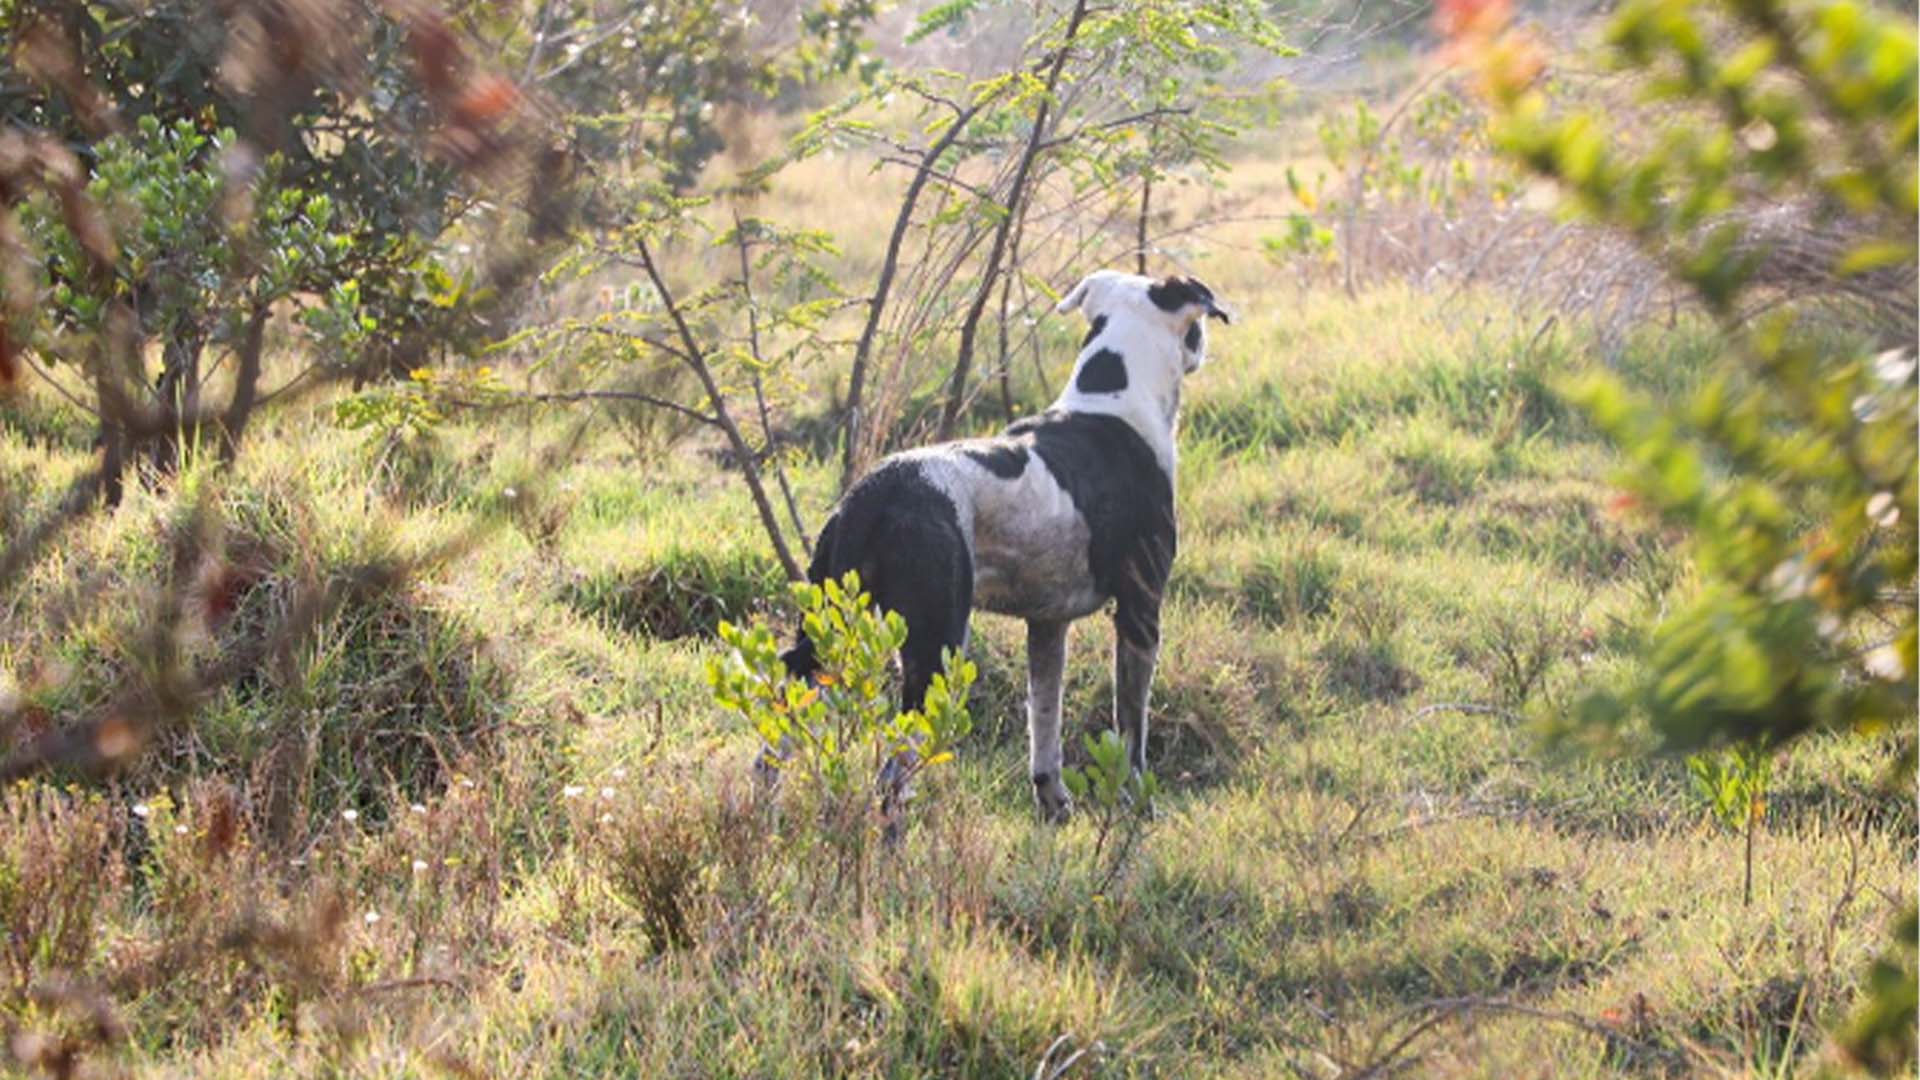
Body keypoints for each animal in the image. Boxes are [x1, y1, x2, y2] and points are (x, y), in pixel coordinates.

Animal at [783, 269, 1221, 814]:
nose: (1206, 347)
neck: (1113, 400)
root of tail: (872, 495)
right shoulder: (1140, 613)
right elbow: (1131, 734)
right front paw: (1138, 810)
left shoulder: (1048, 625)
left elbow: (1046, 727)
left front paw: (1055, 808)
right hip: (934, 651)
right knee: (891, 778)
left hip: (822, 643)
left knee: (771, 750)